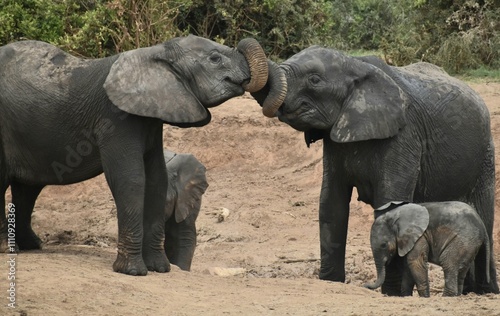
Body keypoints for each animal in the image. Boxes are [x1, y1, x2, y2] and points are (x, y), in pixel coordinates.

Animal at [0, 35, 284, 276]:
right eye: (214, 59)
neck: (155, 53)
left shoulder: (152, 117)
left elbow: (157, 179)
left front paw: (160, 269)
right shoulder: (115, 119)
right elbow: (131, 179)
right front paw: (132, 272)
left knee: (28, 188)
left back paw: (30, 245)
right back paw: (8, 249)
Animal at [252, 46, 498, 294]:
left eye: (314, 80)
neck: (355, 64)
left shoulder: (403, 136)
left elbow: (388, 201)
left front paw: (392, 294)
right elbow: (331, 204)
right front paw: (330, 282)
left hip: (485, 156)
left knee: (484, 217)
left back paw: (484, 291)